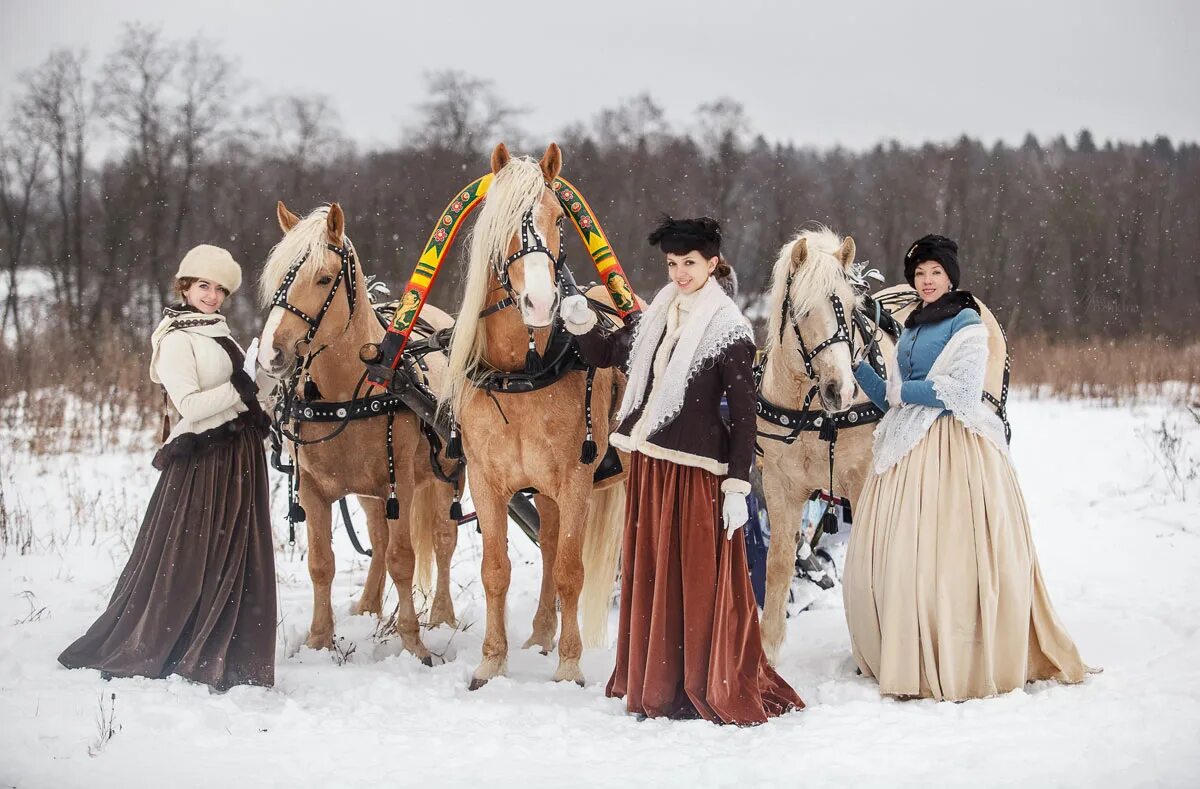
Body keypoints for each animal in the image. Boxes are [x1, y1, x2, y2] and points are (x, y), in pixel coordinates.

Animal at [260, 201, 460, 657]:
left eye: (323, 278)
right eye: (277, 277)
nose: (272, 353)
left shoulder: (402, 483)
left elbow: (404, 559)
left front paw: (413, 642)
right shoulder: (313, 489)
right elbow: (321, 564)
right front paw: (319, 640)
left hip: (448, 471)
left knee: (443, 539)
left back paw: (443, 617)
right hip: (370, 492)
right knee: (379, 541)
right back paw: (369, 606)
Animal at [441, 142, 628, 690]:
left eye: (559, 220)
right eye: (500, 221)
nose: (542, 302)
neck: (523, 371)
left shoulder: (576, 479)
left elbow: (571, 570)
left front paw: (570, 665)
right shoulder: (486, 480)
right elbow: (497, 569)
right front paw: (492, 661)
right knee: (545, 543)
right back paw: (541, 634)